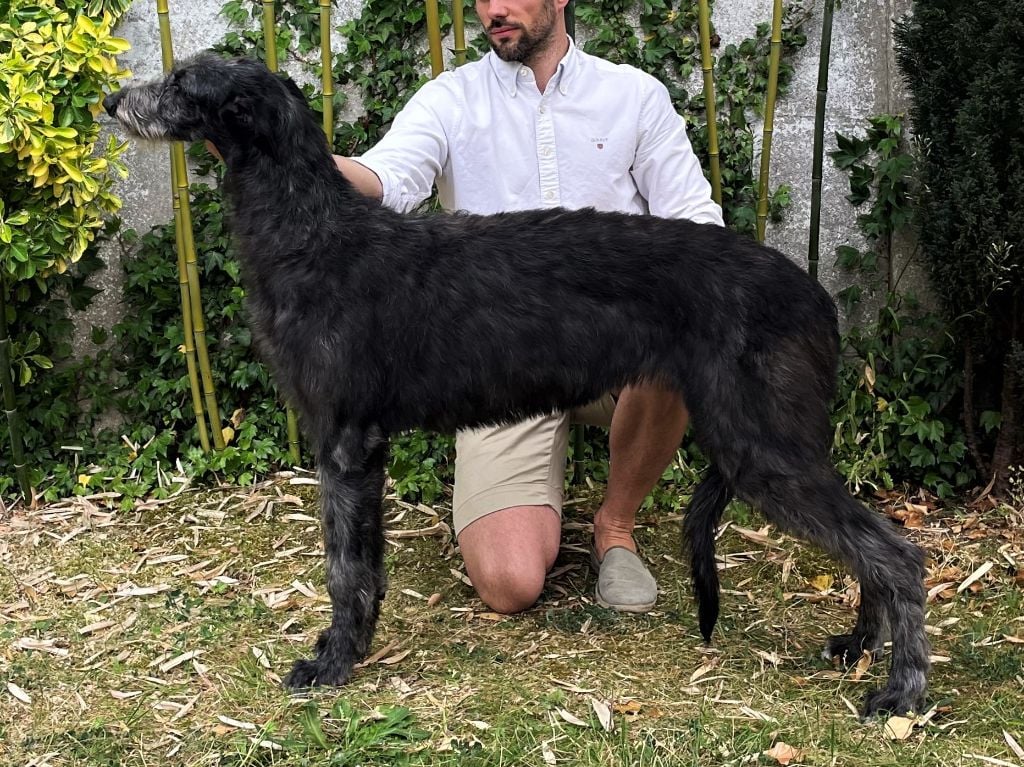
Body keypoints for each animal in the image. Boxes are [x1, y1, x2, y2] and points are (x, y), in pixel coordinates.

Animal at [108, 55, 933, 716]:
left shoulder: (344, 441)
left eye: (182, 82)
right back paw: (858, 644)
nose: (112, 100)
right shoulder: (357, 445)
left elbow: (345, 568)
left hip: (761, 442)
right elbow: (363, 564)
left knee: (896, 551)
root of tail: (817, 297)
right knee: (867, 546)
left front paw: (335, 659)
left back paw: (902, 688)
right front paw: (354, 647)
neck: (312, 231)